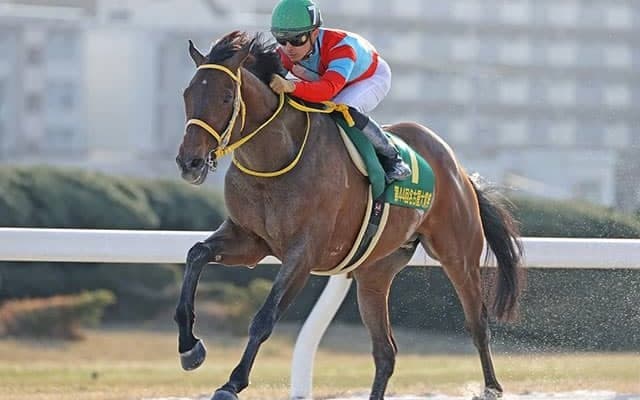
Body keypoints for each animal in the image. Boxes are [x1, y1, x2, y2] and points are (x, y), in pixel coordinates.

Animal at [174, 31, 523, 400]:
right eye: (187, 94)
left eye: (227, 97)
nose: (189, 163)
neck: (274, 160)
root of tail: (460, 170)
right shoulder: (250, 240)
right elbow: (196, 253)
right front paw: (189, 348)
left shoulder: (303, 254)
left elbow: (265, 317)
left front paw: (232, 382)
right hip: (374, 273)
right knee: (386, 351)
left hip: (458, 254)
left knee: (477, 324)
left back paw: (492, 388)